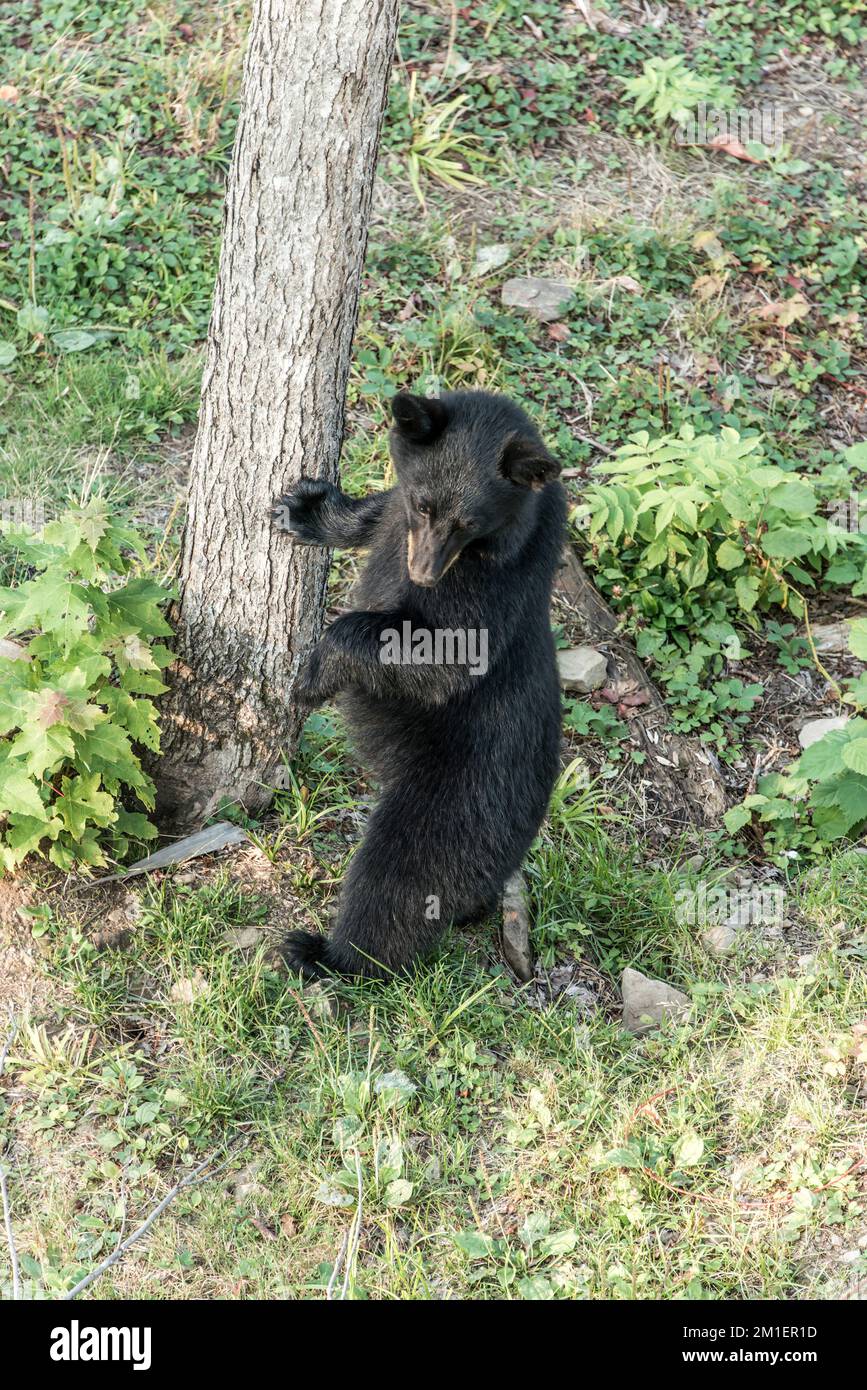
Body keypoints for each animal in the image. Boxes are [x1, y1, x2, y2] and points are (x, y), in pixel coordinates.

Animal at [271, 389, 566, 979]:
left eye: (469, 522)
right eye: (425, 506)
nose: (424, 572)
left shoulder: (492, 585)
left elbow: (441, 653)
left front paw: (311, 677)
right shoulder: (403, 516)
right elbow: (378, 512)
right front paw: (304, 508)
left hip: (451, 807)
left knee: (396, 882)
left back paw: (328, 955)